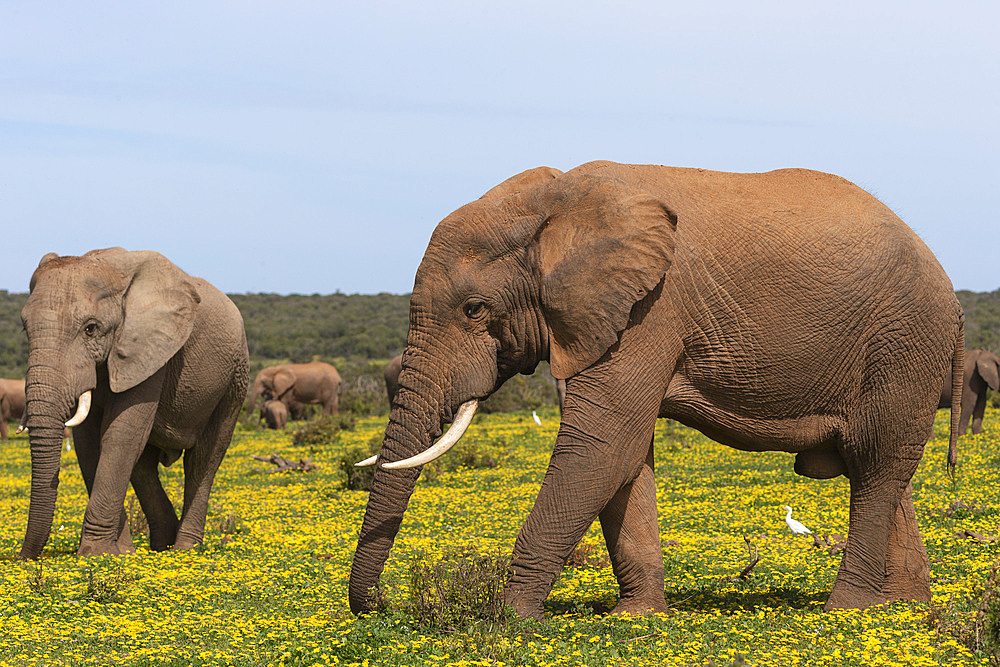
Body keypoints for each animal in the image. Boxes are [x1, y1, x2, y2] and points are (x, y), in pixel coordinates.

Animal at [19, 247, 248, 560]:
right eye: (24, 328)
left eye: (91, 329)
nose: (23, 558)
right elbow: (89, 444)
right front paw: (119, 554)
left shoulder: (150, 348)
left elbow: (120, 435)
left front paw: (96, 555)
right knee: (144, 466)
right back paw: (160, 547)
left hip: (235, 379)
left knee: (203, 458)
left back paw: (184, 550)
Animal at [348, 159, 964, 620]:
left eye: (475, 310)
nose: (382, 607)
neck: (557, 200)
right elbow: (626, 458)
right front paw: (636, 618)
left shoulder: (650, 310)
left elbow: (601, 447)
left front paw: (508, 620)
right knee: (882, 469)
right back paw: (900, 607)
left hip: (905, 340)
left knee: (876, 464)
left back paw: (846, 611)